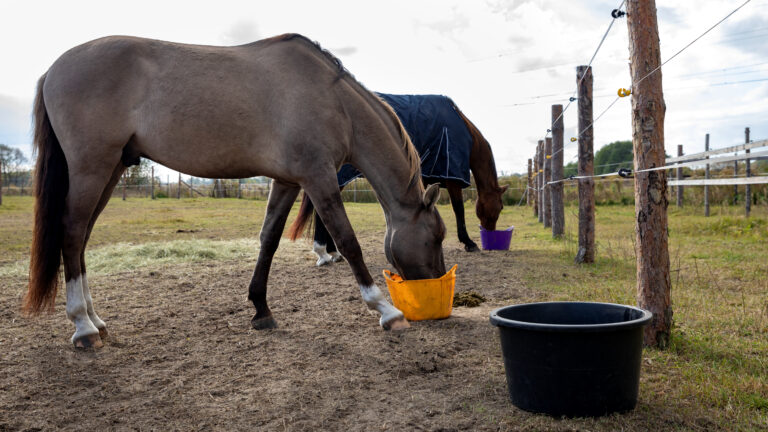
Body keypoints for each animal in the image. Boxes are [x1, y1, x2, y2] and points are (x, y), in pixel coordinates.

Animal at [24, 34, 447, 349]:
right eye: (436, 238)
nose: (434, 289)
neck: (333, 100)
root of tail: (53, 69)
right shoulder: (318, 178)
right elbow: (348, 240)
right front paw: (386, 311)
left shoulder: (288, 181)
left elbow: (268, 240)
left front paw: (261, 309)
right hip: (91, 168)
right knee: (72, 233)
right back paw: (83, 327)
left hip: (110, 170)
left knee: (80, 240)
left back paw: (95, 319)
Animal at [288, 94, 506, 266]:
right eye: (500, 207)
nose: (490, 234)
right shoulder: (452, 178)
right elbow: (458, 209)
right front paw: (469, 242)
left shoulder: (425, 179)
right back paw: (325, 253)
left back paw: (332, 253)